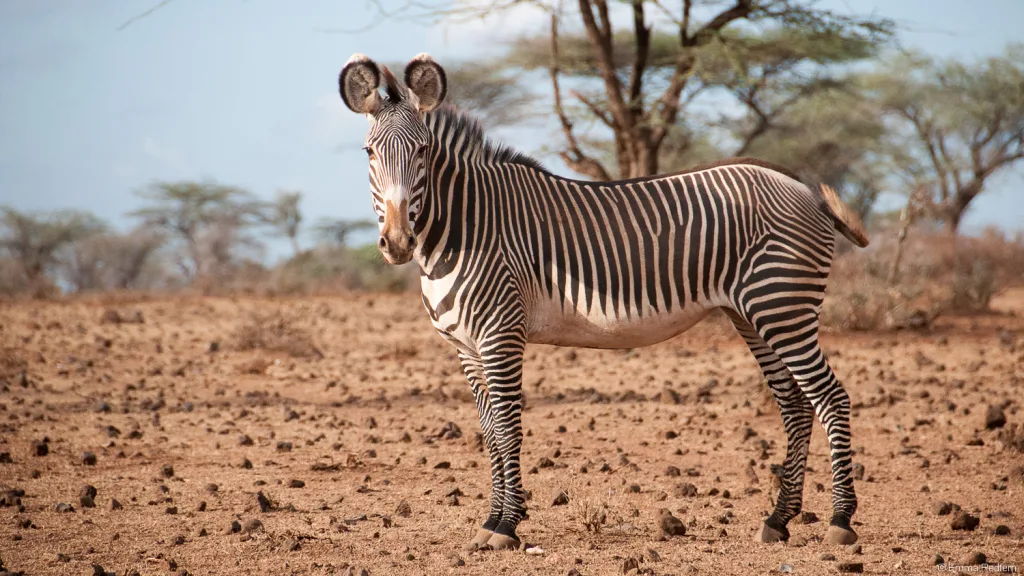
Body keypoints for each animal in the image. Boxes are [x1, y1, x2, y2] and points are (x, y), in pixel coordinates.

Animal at [339, 52, 870, 551]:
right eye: (368, 152)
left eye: (423, 150)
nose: (398, 242)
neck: (464, 227)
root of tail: (803, 188)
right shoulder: (465, 347)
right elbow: (489, 429)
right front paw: (490, 521)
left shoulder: (501, 335)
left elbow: (508, 425)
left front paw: (507, 526)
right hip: (753, 314)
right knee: (795, 404)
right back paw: (778, 519)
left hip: (782, 305)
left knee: (830, 398)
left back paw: (841, 520)